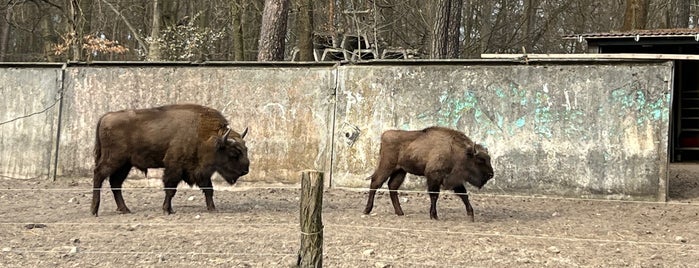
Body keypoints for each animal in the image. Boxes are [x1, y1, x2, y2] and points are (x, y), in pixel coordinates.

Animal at [89, 103, 249, 217]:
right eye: (234, 152)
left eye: (246, 149)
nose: (245, 171)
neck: (206, 135)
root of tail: (105, 117)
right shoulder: (174, 167)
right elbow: (170, 189)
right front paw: (167, 210)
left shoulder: (200, 172)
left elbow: (208, 189)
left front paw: (213, 209)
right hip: (114, 160)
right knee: (99, 175)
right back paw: (94, 210)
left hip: (125, 165)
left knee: (115, 183)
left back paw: (125, 209)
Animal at [364, 126, 494, 221]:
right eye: (480, 160)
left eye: (489, 158)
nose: (491, 174)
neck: (456, 150)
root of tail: (385, 135)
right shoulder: (434, 177)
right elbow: (434, 195)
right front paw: (434, 215)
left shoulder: (454, 180)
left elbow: (463, 195)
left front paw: (471, 214)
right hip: (386, 167)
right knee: (375, 182)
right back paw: (367, 210)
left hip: (400, 171)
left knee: (392, 187)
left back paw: (400, 212)